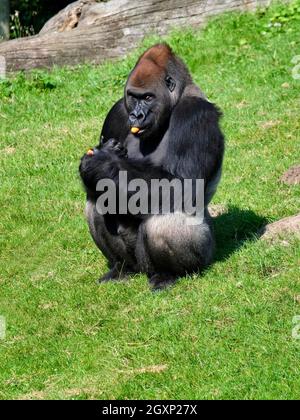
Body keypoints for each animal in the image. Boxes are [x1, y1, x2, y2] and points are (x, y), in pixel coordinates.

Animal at [79, 44, 225, 290]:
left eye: (148, 97)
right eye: (133, 97)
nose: (136, 115)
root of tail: (142, 271)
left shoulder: (195, 114)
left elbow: (182, 185)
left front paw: (104, 162)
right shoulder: (118, 111)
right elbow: (100, 186)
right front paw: (96, 163)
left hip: (204, 255)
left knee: (165, 219)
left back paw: (168, 274)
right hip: (136, 265)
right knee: (97, 200)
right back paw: (121, 269)